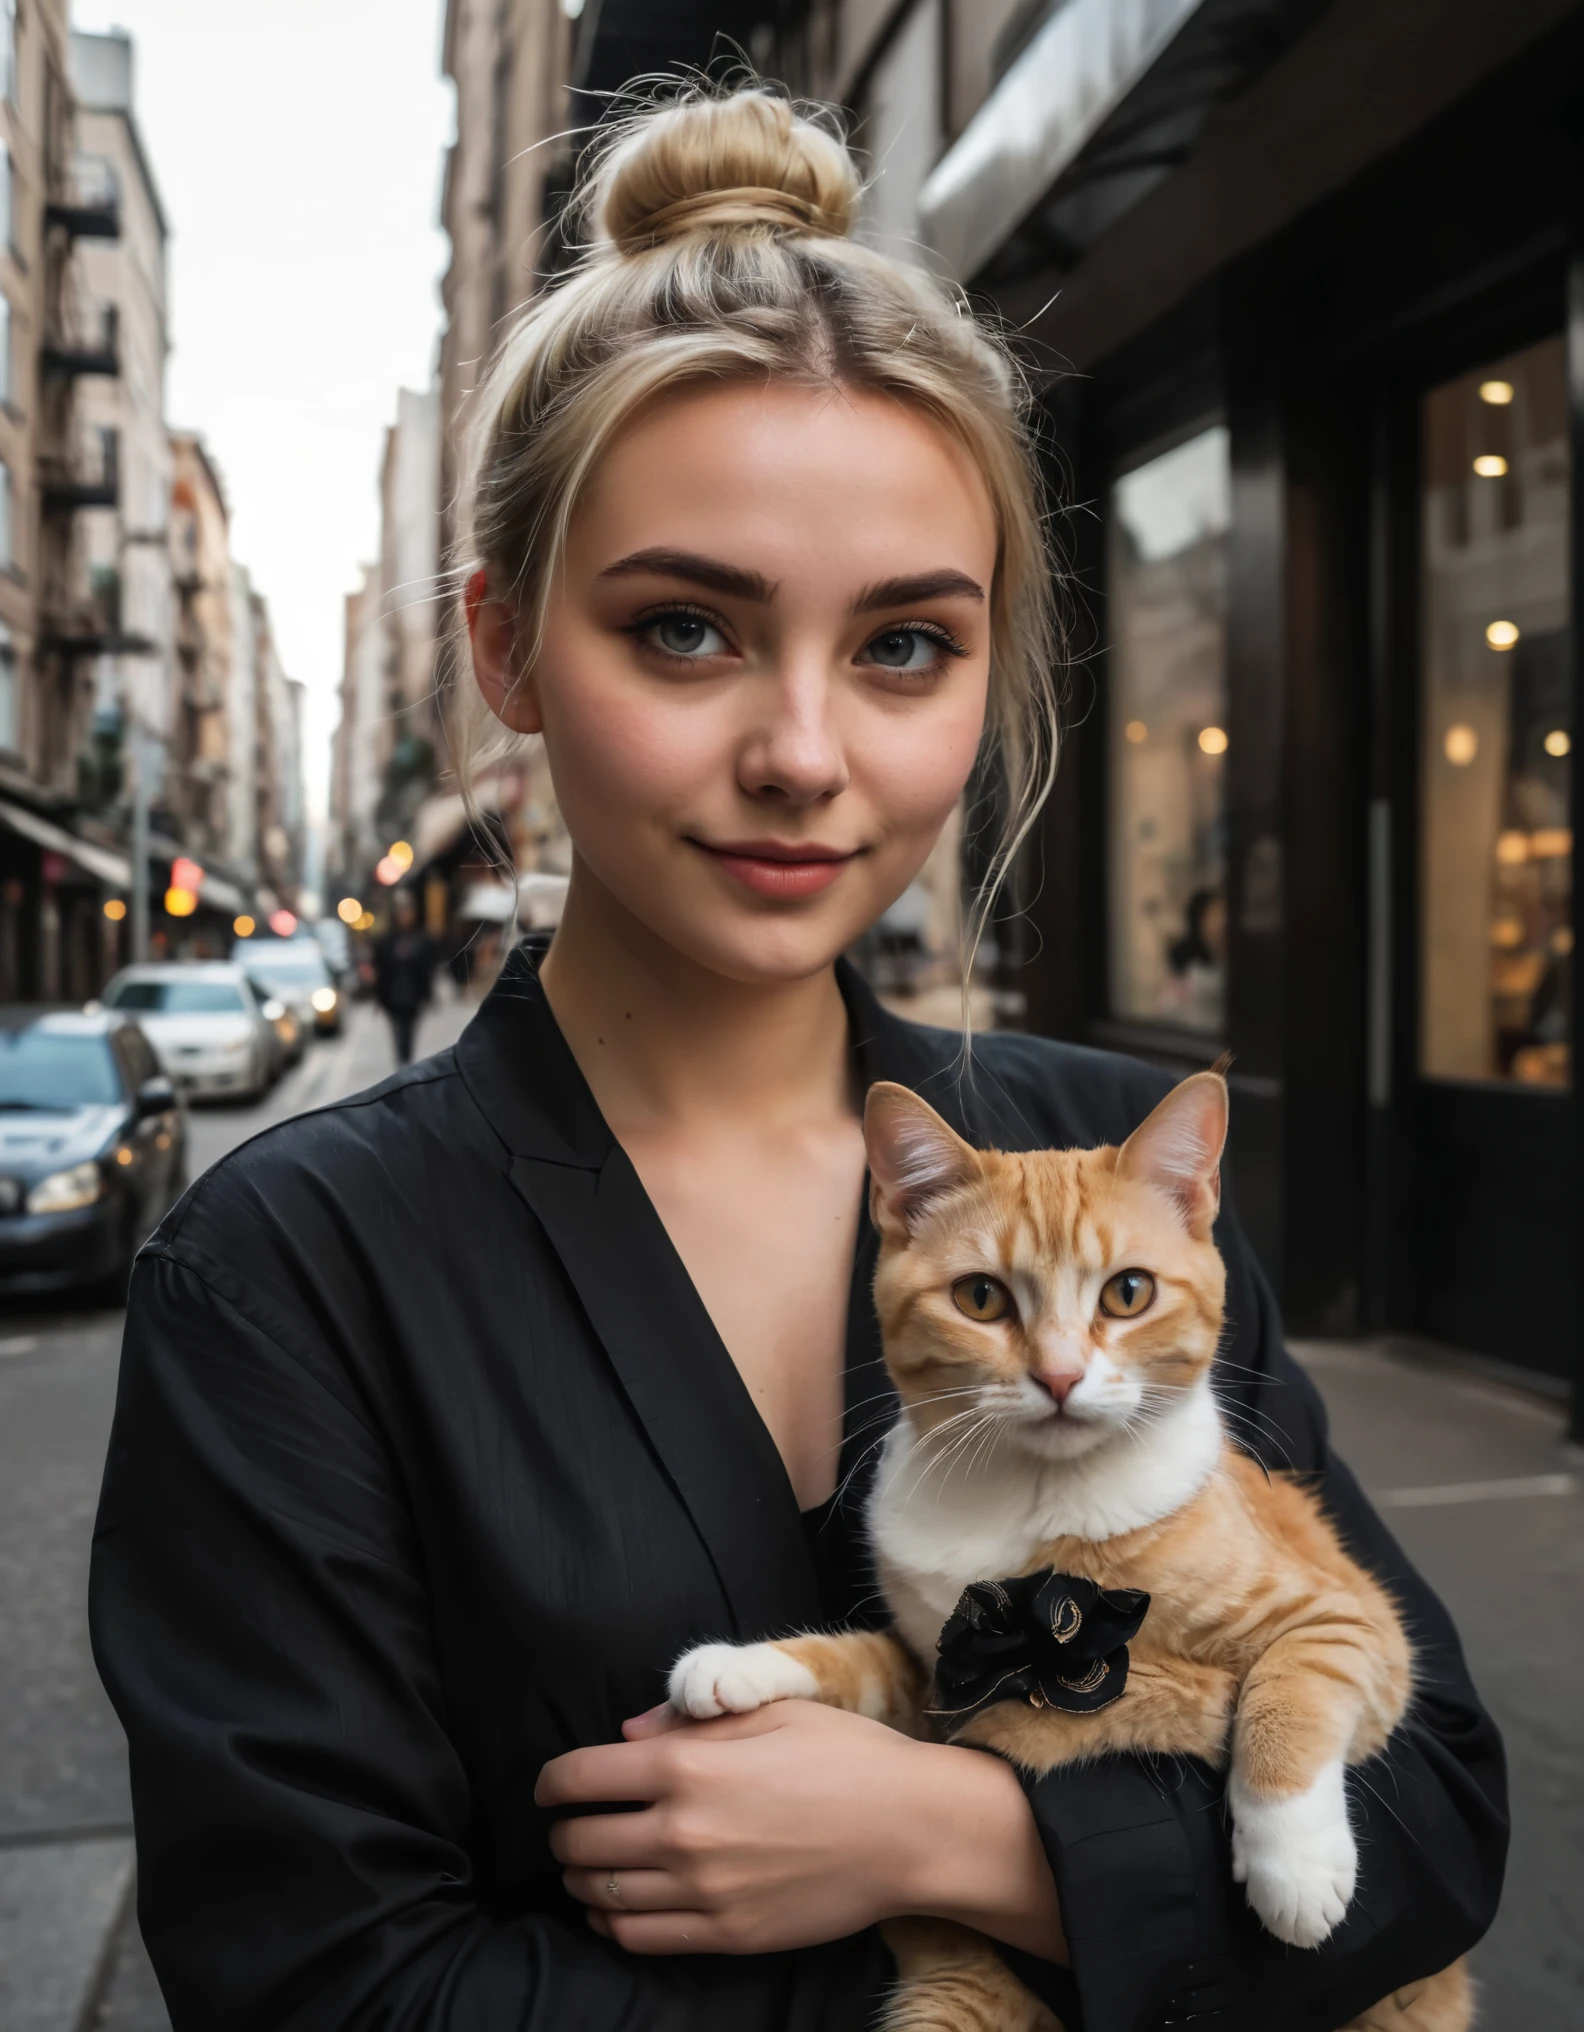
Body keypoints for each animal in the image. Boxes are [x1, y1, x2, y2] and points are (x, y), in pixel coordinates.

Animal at [670, 1072, 1470, 2023]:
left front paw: (1296, 1865)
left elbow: (1290, 1692)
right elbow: (858, 1664)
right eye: (980, 1298)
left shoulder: (1347, 1620)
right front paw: (738, 1666)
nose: (1057, 1376)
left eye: (1127, 1292)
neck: (1034, 1502)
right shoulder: (940, 1671)